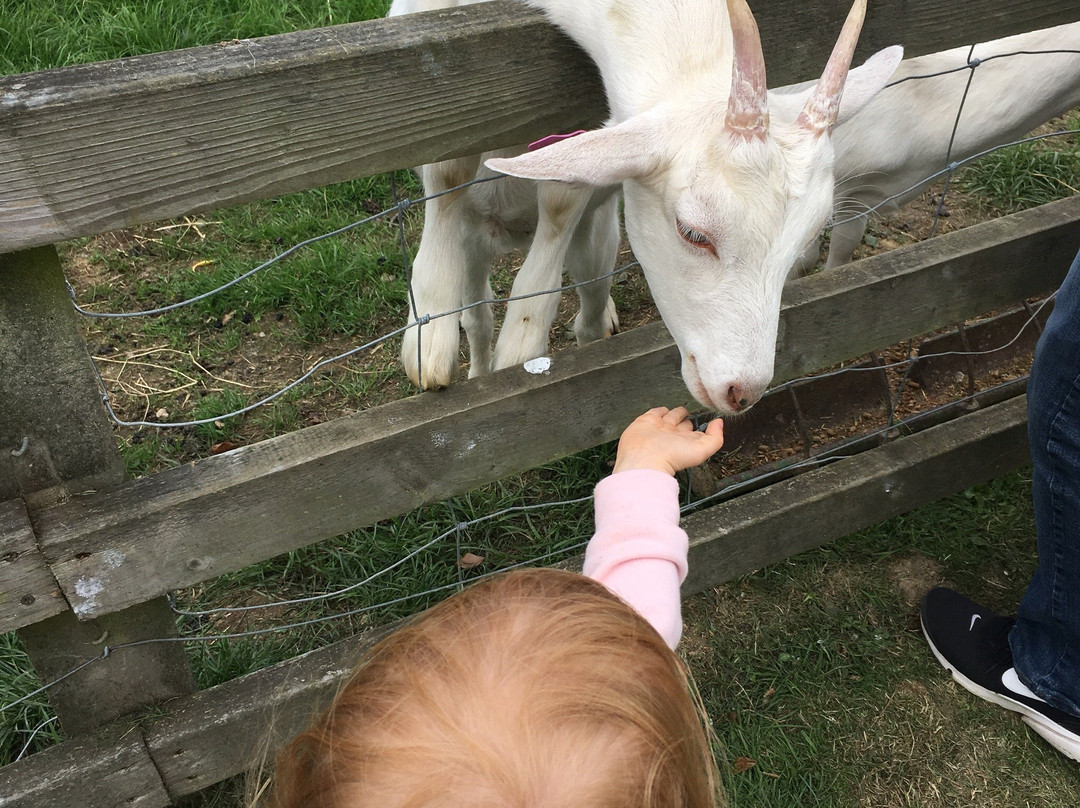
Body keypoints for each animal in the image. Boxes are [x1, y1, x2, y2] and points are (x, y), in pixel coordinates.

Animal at [384, 0, 898, 412]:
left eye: (805, 242)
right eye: (693, 233)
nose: (742, 392)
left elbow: (563, 197)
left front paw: (524, 336)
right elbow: (447, 172)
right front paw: (429, 340)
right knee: (478, 305)